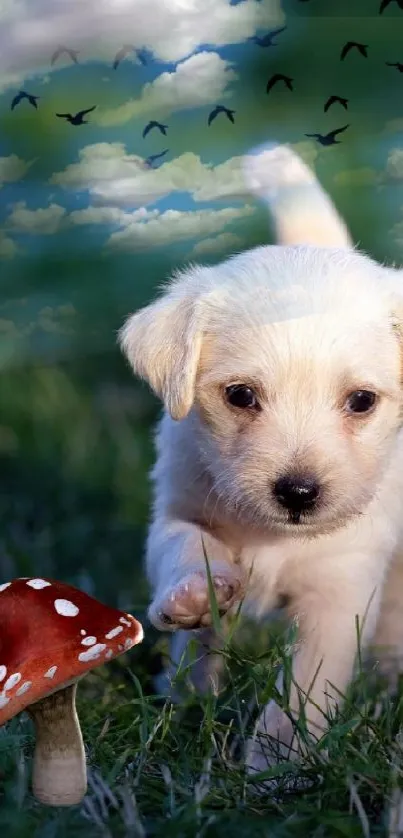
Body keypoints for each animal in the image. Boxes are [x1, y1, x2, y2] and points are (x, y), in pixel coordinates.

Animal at [120, 143, 403, 776]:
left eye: (362, 401)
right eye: (241, 396)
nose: (297, 493)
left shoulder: (340, 590)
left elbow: (305, 689)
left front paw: (277, 767)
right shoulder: (179, 505)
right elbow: (185, 546)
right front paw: (195, 595)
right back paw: (183, 689)